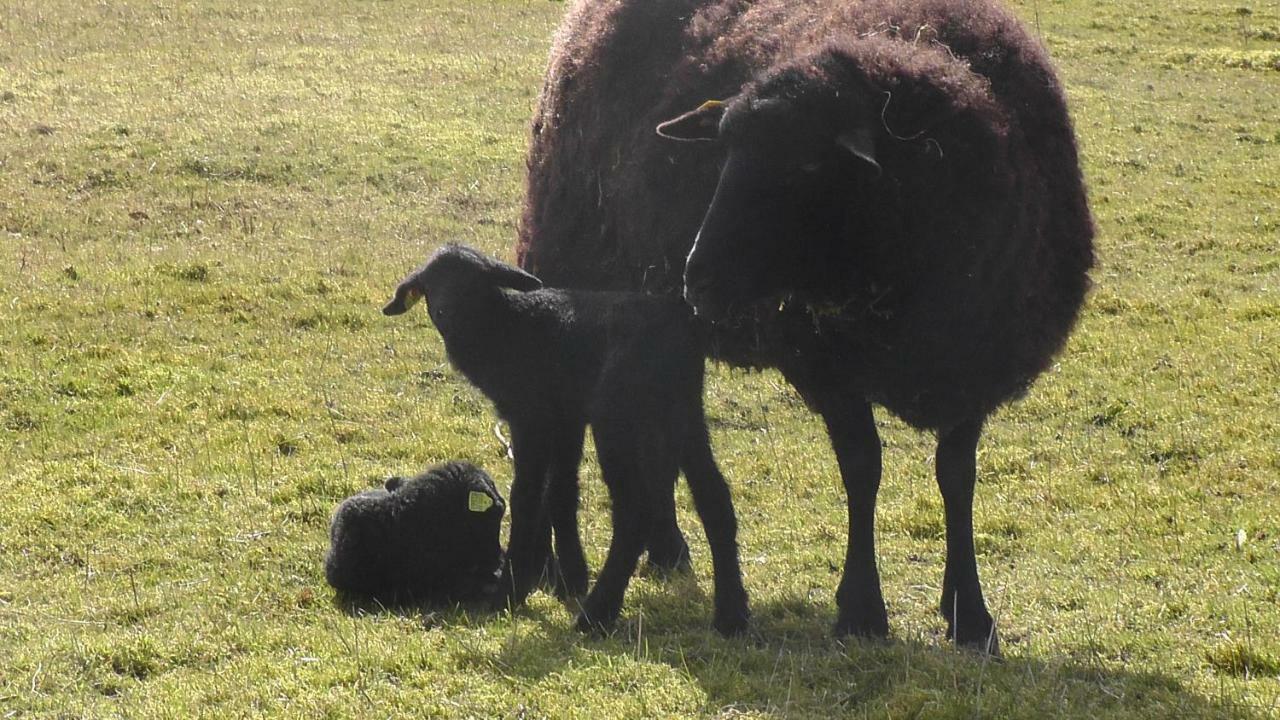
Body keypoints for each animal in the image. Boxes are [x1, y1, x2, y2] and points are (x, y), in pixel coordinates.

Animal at [384, 242, 752, 632]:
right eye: (430, 284)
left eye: (473, 281)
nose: (445, 312)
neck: (506, 327)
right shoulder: (566, 417)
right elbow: (561, 491)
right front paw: (571, 578)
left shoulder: (531, 415)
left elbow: (526, 496)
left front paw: (511, 591)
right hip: (684, 411)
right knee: (714, 498)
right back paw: (731, 615)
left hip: (617, 415)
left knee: (635, 510)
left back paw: (597, 615)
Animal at [514, 0, 1095, 650]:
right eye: (724, 152)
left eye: (810, 162)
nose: (698, 277)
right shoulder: (825, 364)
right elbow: (863, 468)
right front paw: (861, 610)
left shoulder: (973, 364)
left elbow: (957, 477)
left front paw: (969, 613)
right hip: (567, 264)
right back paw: (552, 564)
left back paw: (665, 547)